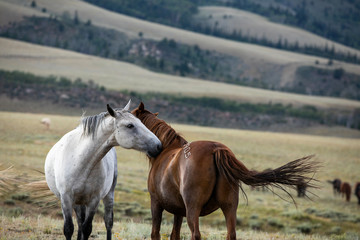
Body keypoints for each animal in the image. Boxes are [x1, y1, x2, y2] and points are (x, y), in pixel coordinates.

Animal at [45, 100, 162, 239]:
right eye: (130, 125)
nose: (158, 145)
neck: (81, 162)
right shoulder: (66, 198)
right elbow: (69, 228)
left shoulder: (94, 200)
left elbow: (87, 228)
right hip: (78, 202)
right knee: (79, 221)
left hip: (108, 195)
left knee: (108, 222)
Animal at [131, 101, 318, 240]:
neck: (165, 151)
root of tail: (216, 149)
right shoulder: (178, 211)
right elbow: (174, 235)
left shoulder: (156, 203)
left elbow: (155, 233)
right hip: (229, 206)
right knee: (231, 234)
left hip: (193, 208)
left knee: (196, 234)